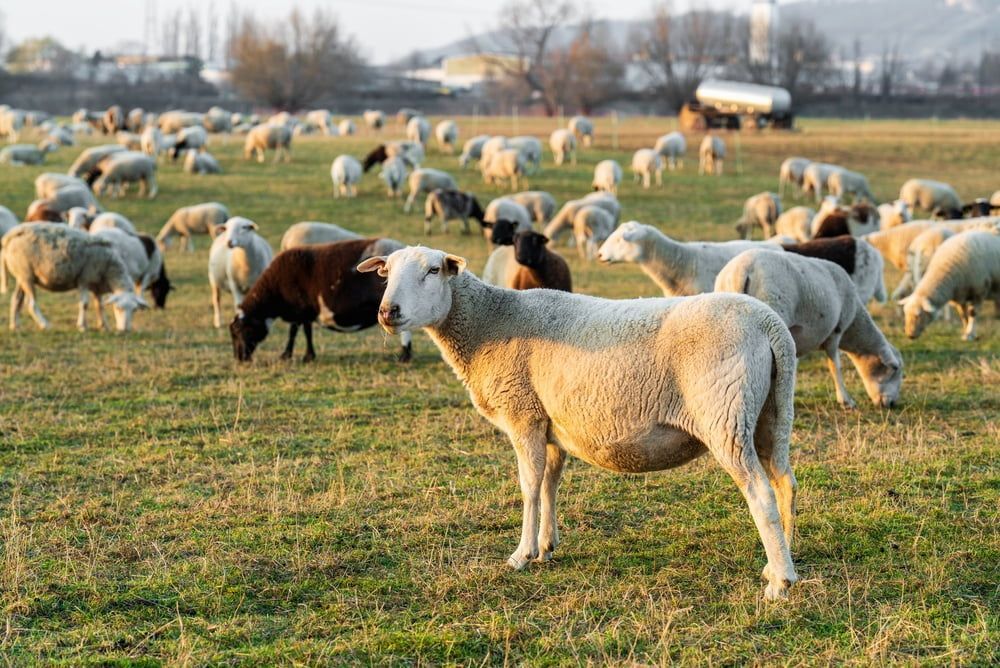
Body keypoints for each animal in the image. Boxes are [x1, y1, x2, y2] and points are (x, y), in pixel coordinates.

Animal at [1, 223, 148, 331]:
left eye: (135, 310)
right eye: (118, 308)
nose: (125, 330)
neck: (110, 268)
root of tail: (9, 236)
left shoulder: (96, 285)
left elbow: (99, 306)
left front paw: (103, 326)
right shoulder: (84, 279)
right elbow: (84, 304)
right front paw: (82, 326)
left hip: (21, 275)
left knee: (16, 299)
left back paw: (15, 326)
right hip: (26, 275)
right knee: (30, 304)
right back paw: (45, 325)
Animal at [231, 237, 412, 363]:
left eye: (240, 330)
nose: (240, 358)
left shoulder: (301, 309)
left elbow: (298, 331)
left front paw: (296, 356)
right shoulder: (303, 311)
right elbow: (302, 330)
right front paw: (300, 355)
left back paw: (405, 355)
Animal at [358, 245, 800, 599]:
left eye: (433, 270)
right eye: (386, 272)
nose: (387, 311)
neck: (488, 325)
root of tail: (769, 324)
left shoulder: (523, 415)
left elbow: (529, 486)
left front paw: (521, 554)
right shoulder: (549, 422)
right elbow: (549, 483)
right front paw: (546, 546)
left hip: (724, 415)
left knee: (760, 493)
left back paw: (779, 584)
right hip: (771, 413)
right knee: (784, 482)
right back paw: (783, 559)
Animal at [715, 249, 902, 408]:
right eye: (895, 369)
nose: (892, 404)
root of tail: (740, 271)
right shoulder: (836, 331)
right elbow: (835, 365)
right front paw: (845, 400)